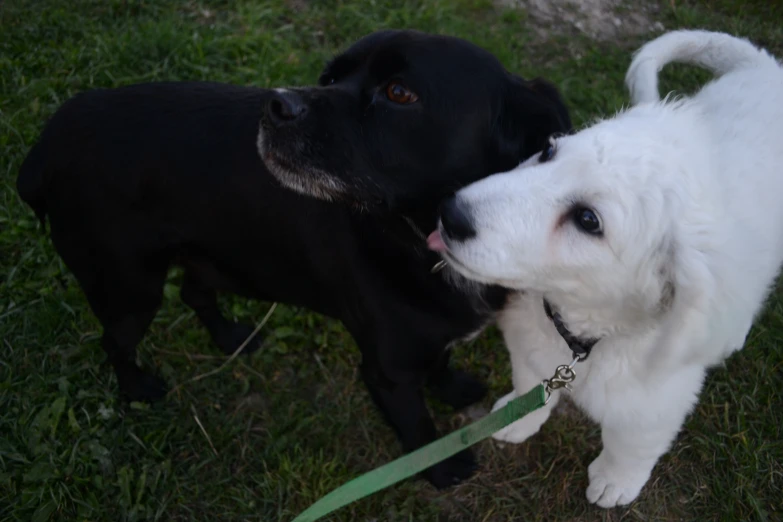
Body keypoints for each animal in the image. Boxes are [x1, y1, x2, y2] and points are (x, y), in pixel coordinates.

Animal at [18, 30, 568, 486]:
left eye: (399, 93)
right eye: (330, 77)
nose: (276, 104)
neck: (423, 240)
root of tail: (45, 145)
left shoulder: (434, 333)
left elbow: (442, 359)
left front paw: (453, 389)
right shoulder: (386, 371)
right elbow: (417, 427)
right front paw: (443, 468)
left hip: (211, 255)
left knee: (195, 291)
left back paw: (232, 338)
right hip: (128, 285)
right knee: (115, 341)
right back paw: (138, 388)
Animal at [428, 30, 783, 506]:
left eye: (587, 220)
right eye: (547, 151)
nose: (451, 215)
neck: (584, 337)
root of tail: (766, 69)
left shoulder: (658, 399)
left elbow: (632, 443)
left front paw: (616, 481)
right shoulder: (532, 349)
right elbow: (529, 387)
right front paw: (518, 420)